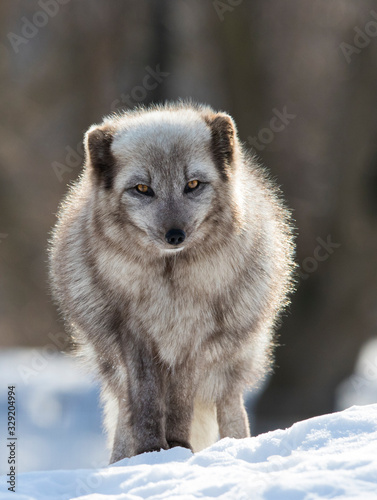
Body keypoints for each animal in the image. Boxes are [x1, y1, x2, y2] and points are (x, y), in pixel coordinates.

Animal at [48, 102, 296, 464]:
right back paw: (121, 462)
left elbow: (180, 403)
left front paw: (178, 448)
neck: (169, 286)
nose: (175, 235)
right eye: (142, 189)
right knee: (125, 413)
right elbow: (146, 403)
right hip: (115, 369)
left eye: (192, 184)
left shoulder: (193, 339)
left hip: (230, 370)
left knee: (229, 411)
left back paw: (234, 447)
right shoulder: (134, 336)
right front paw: (150, 453)